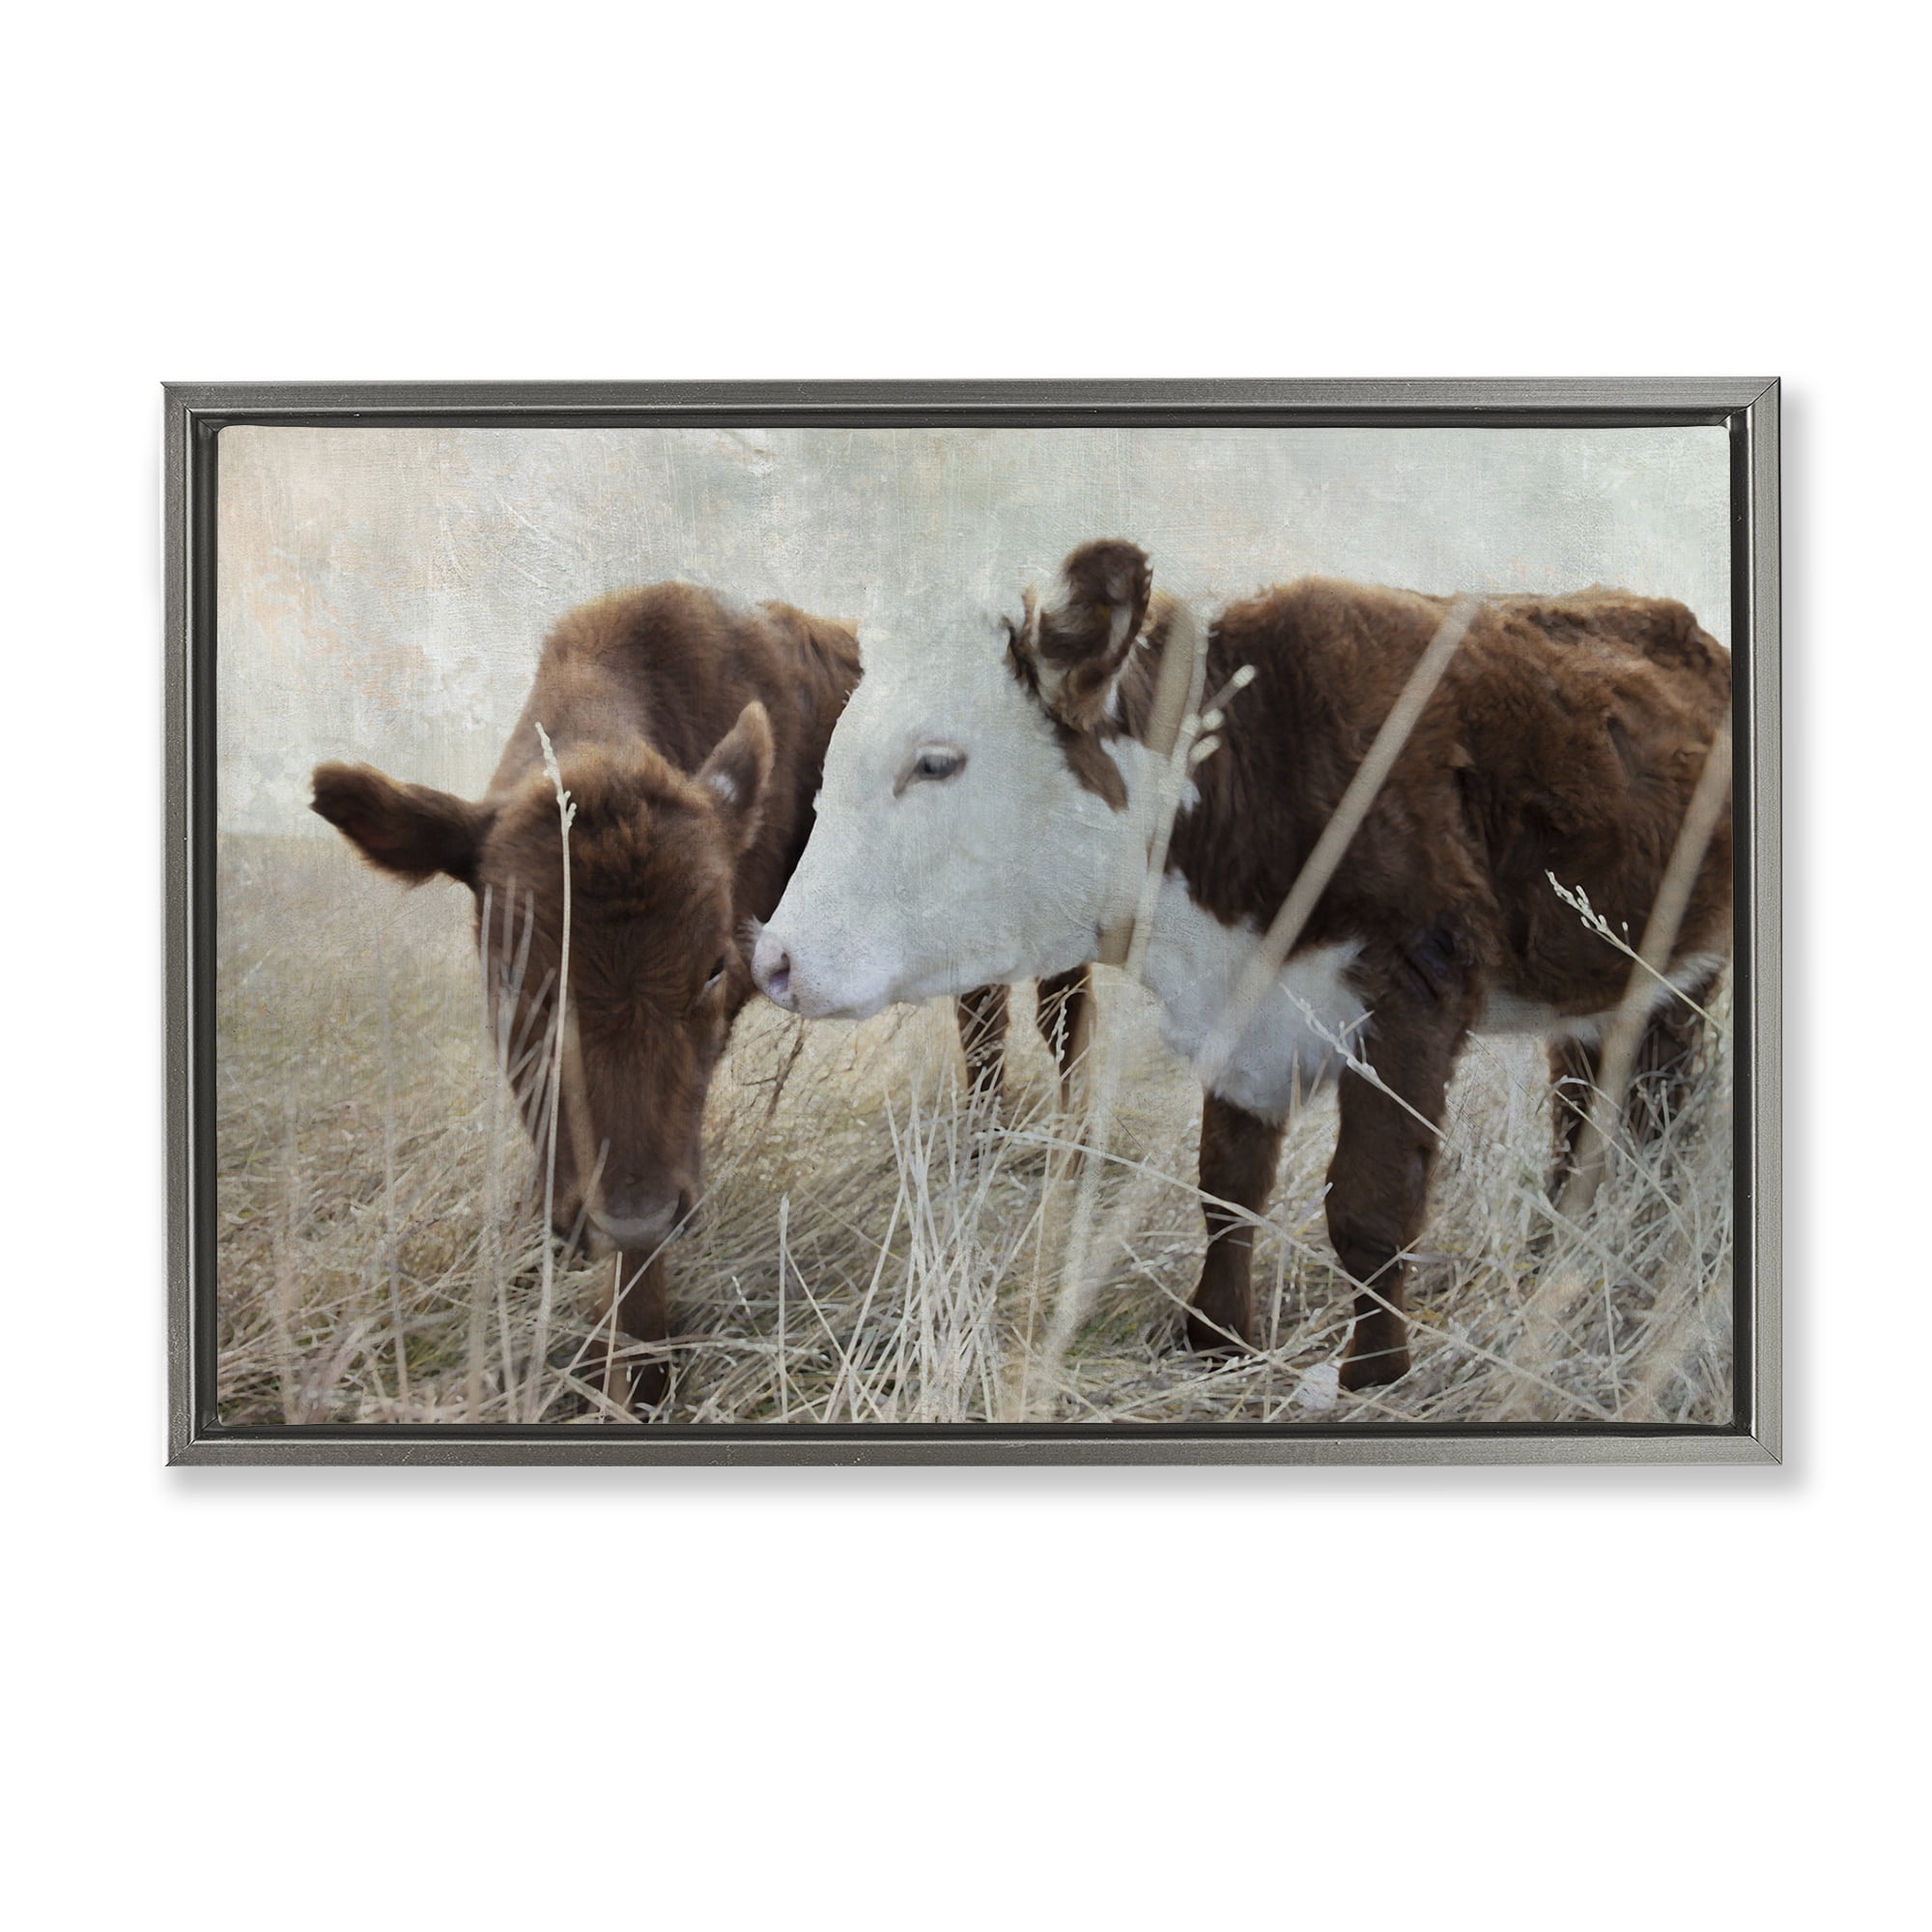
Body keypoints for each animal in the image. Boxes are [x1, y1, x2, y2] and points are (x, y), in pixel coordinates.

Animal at [311, 584, 1087, 1413]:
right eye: (512, 973)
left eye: (714, 968)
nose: (629, 1214)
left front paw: (644, 1371)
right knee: (983, 1013)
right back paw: (981, 1142)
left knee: (1060, 1014)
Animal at [751, 540, 1733, 1391]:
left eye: (937, 762)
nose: (775, 959)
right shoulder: (1241, 1018)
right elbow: (1226, 1188)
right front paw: (1215, 1341)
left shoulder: (1415, 984)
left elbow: (1371, 1209)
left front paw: (1373, 1379)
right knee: (1583, 1118)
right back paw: (1553, 1260)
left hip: (1682, 980)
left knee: (1658, 1116)